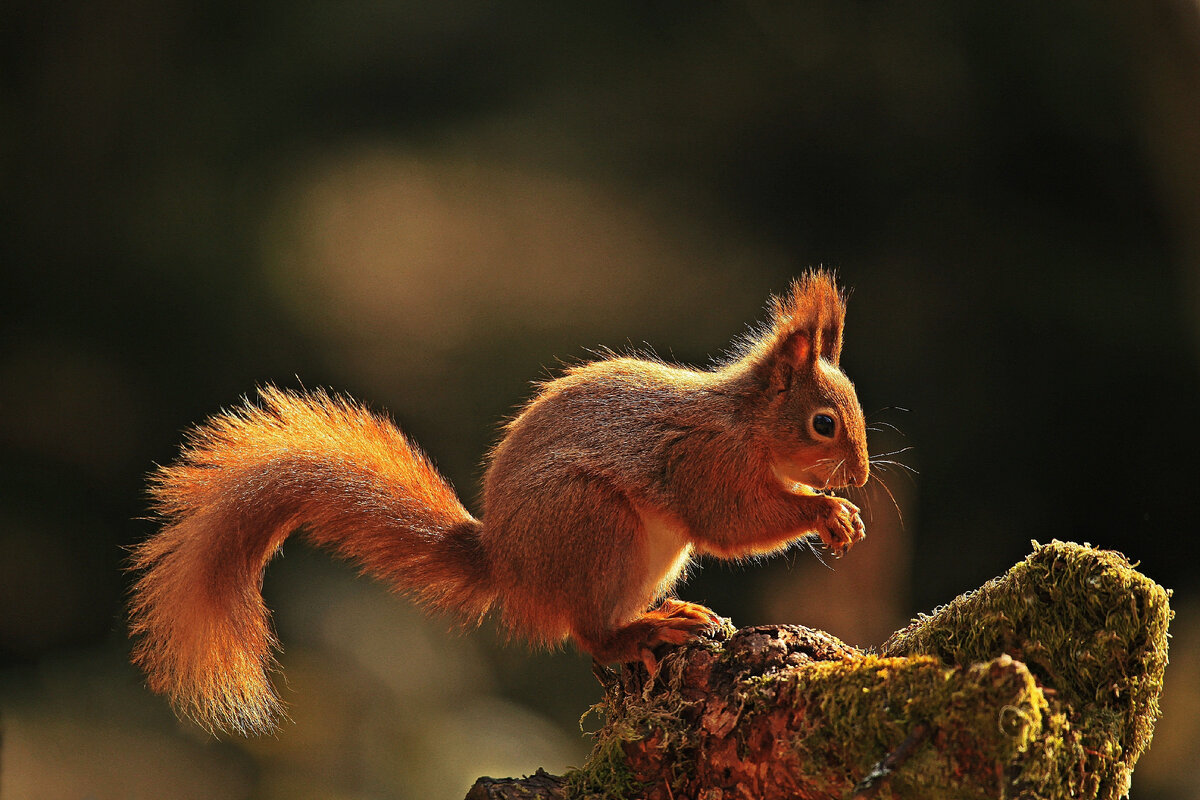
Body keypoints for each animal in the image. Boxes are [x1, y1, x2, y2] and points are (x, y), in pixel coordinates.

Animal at [126, 272, 868, 734]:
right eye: (823, 424)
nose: (860, 477)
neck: (745, 423)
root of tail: (509, 567)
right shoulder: (704, 464)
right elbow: (732, 523)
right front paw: (824, 512)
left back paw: (667, 613)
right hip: (595, 526)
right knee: (590, 633)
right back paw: (644, 630)